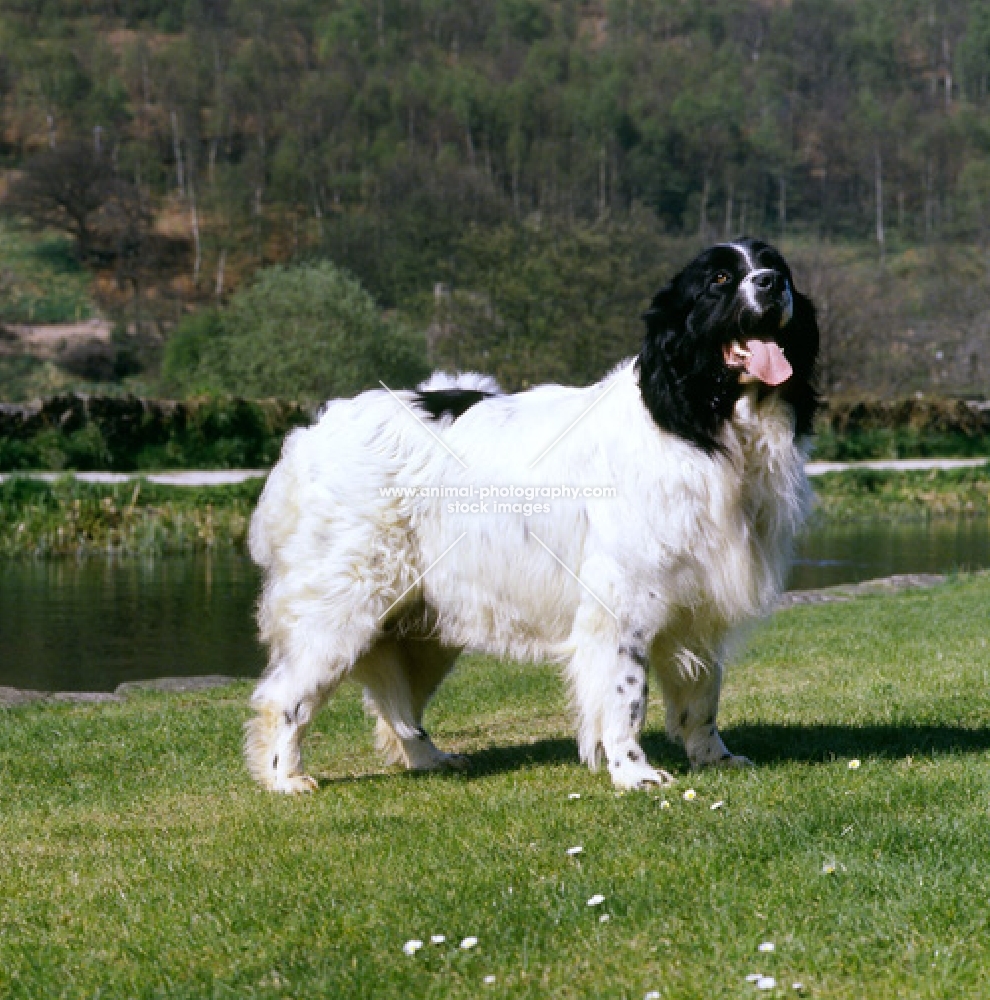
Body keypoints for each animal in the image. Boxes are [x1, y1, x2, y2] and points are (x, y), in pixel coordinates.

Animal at [246, 238, 820, 792]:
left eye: (776, 266)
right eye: (720, 279)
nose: (771, 283)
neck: (700, 423)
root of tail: (312, 435)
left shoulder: (698, 601)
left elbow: (703, 693)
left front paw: (713, 757)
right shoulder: (623, 603)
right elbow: (626, 698)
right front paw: (633, 772)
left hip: (423, 624)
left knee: (398, 707)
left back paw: (428, 760)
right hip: (342, 607)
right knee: (286, 696)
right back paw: (284, 778)